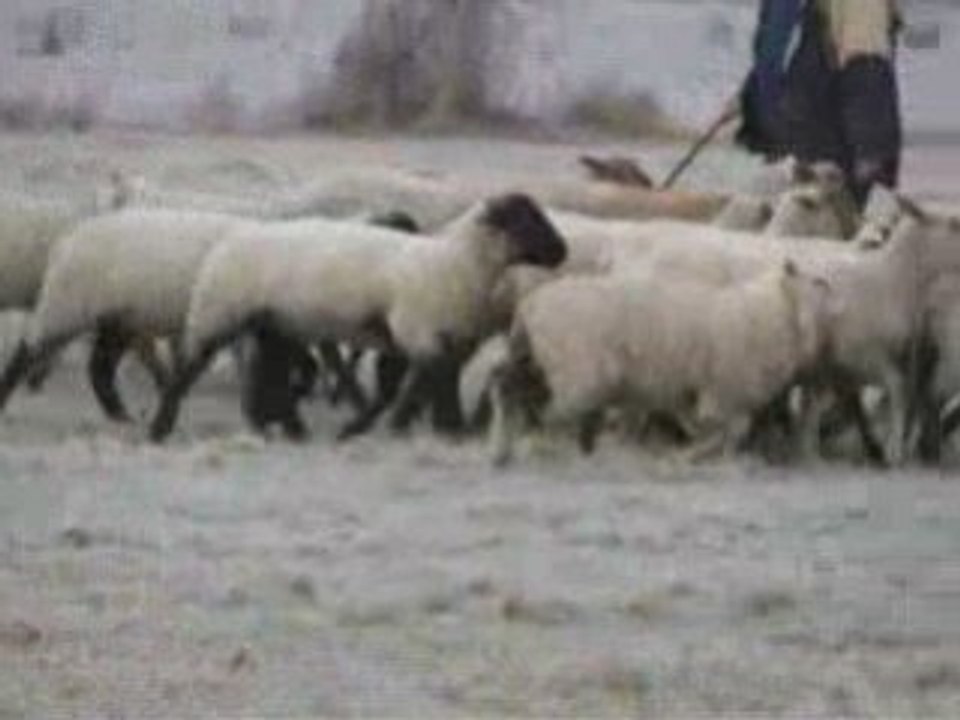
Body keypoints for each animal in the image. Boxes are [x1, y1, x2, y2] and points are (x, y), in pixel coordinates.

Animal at [147, 193, 568, 442]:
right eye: (525, 218)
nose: (562, 251)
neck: (452, 263)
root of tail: (228, 240)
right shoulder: (418, 332)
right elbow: (427, 382)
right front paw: (441, 427)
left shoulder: (432, 336)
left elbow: (421, 382)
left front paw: (425, 426)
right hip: (217, 311)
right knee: (188, 367)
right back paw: (160, 427)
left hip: (273, 323)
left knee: (275, 372)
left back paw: (290, 428)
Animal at [487, 260, 834, 466]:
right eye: (818, 282)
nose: (832, 288)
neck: (768, 314)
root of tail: (530, 305)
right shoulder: (723, 393)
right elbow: (730, 431)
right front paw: (691, 456)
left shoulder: (700, 393)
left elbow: (719, 430)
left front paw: (693, 454)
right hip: (577, 371)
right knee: (546, 410)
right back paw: (536, 448)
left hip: (536, 358)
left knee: (508, 386)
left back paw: (503, 450)